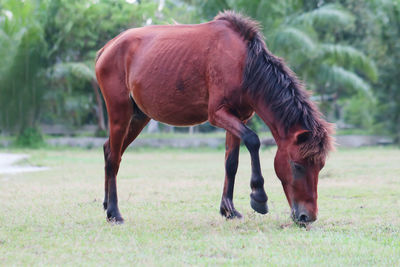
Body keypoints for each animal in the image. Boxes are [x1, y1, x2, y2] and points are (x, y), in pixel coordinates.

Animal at [94, 11, 334, 227]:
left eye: (320, 166)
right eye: (297, 166)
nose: (307, 216)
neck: (244, 65)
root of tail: (108, 47)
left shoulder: (238, 117)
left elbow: (231, 162)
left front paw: (228, 210)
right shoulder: (218, 114)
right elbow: (253, 141)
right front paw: (258, 197)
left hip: (138, 118)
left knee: (110, 151)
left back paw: (107, 205)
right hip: (120, 114)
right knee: (113, 157)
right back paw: (114, 213)